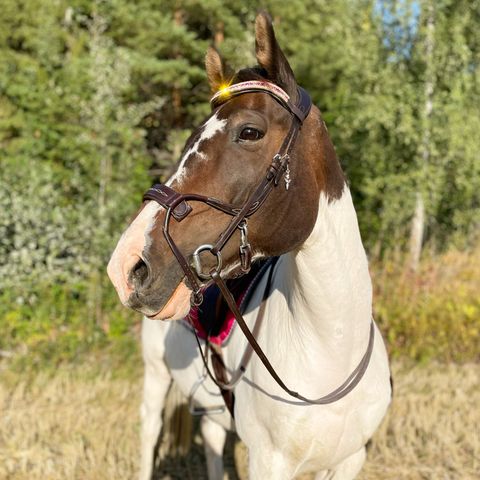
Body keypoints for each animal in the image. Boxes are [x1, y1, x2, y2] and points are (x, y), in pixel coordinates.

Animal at [108, 11, 390, 480]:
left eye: (250, 132)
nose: (127, 266)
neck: (329, 351)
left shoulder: (352, 460)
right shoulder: (269, 462)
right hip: (155, 379)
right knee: (149, 434)